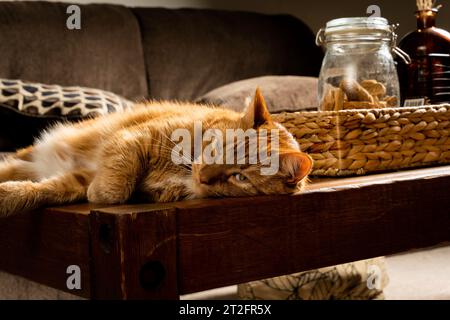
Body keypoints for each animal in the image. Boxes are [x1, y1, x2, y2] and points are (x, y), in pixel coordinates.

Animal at [0, 89, 312, 216]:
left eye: (241, 178)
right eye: (219, 147)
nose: (204, 177)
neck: (183, 170)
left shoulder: (81, 177)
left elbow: (99, 191)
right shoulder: (135, 137)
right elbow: (117, 187)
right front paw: (101, 191)